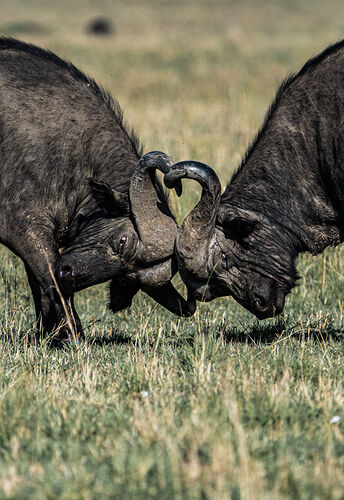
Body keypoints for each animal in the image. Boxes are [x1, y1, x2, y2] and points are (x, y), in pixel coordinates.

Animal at [0, 37, 194, 342]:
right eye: (123, 240)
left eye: (129, 277)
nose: (69, 274)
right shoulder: (24, 227)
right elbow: (47, 274)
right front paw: (70, 332)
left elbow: (40, 283)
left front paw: (53, 332)